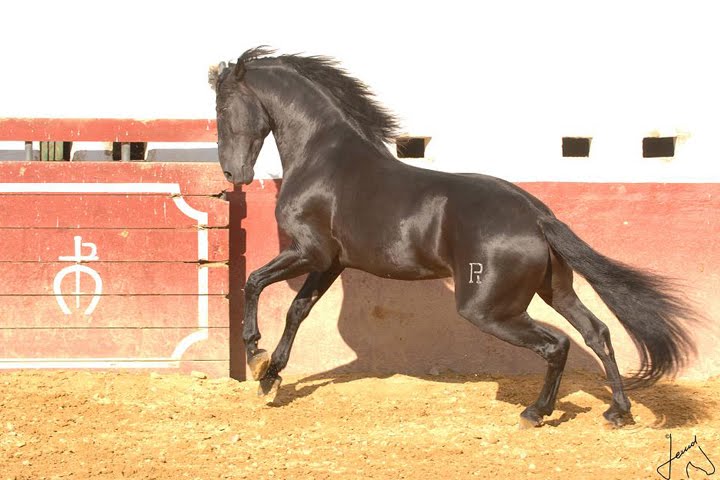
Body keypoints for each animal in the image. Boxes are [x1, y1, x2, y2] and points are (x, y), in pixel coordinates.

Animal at [210, 46, 696, 428]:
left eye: (220, 108)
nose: (233, 174)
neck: (321, 157)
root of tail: (537, 215)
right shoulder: (330, 262)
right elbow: (298, 310)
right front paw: (270, 377)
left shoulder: (308, 252)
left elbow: (253, 281)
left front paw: (253, 352)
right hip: (554, 289)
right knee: (597, 332)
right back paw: (618, 412)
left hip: (487, 309)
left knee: (556, 345)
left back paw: (535, 413)